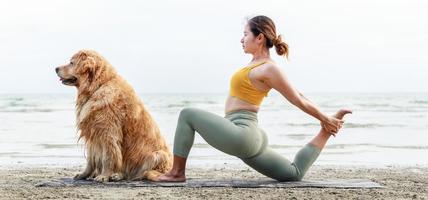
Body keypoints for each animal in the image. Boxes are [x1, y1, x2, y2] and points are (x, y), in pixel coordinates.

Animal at [55, 49, 172, 182]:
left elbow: (108, 157)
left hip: (156, 155)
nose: (55, 68)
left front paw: (104, 176)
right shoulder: (93, 133)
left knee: (138, 174)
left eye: (71, 63)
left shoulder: (108, 133)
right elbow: (90, 160)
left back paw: (118, 175)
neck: (98, 86)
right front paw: (84, 174)